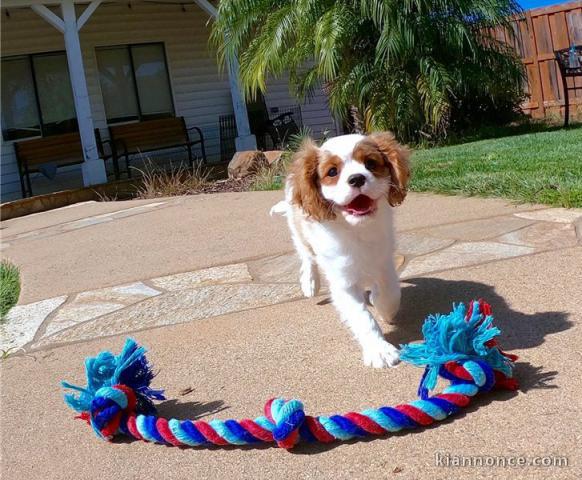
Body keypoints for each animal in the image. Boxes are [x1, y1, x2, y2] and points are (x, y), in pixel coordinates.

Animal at [272, 133, 410, 370]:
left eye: (370, 163)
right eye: (332, 172)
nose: (357, 178)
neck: (356, 228)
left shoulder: (384, 262)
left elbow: (391, 292)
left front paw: (383, 307)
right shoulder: (343, 282)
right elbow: (363, 318)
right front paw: (379, 349)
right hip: (299, 231)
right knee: (307, 256)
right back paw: (310, 282)